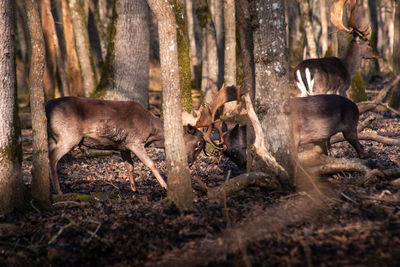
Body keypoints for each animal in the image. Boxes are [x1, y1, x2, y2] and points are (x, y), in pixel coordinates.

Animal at [45, 96, 205, 195]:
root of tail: (46, 107)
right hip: (68, 135)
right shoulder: (135, 141)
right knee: (52, 158)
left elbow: (130, 166)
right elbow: (150, 163)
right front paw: (165, 186)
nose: (190, 163)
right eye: (198, 144)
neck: (151, 133)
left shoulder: (123, 146)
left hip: (55, 137)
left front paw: (134, 189)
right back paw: (58, 191)